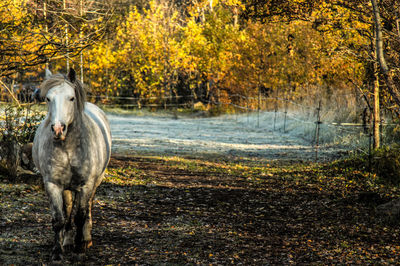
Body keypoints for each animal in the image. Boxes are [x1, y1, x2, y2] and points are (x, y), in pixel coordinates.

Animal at [32, 69, 111, 262]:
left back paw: (86, 239)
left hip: (95, 183)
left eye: (71, 98)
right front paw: (57, 251)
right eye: (48, 98)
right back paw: (68, 241)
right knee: (68, 209)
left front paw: (80, 248)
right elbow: (59, 218)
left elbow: (80, 216)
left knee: (87, 207)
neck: (68, 148)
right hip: (67, 187)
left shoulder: (86, 185)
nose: (58, 129)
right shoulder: (52, 184)